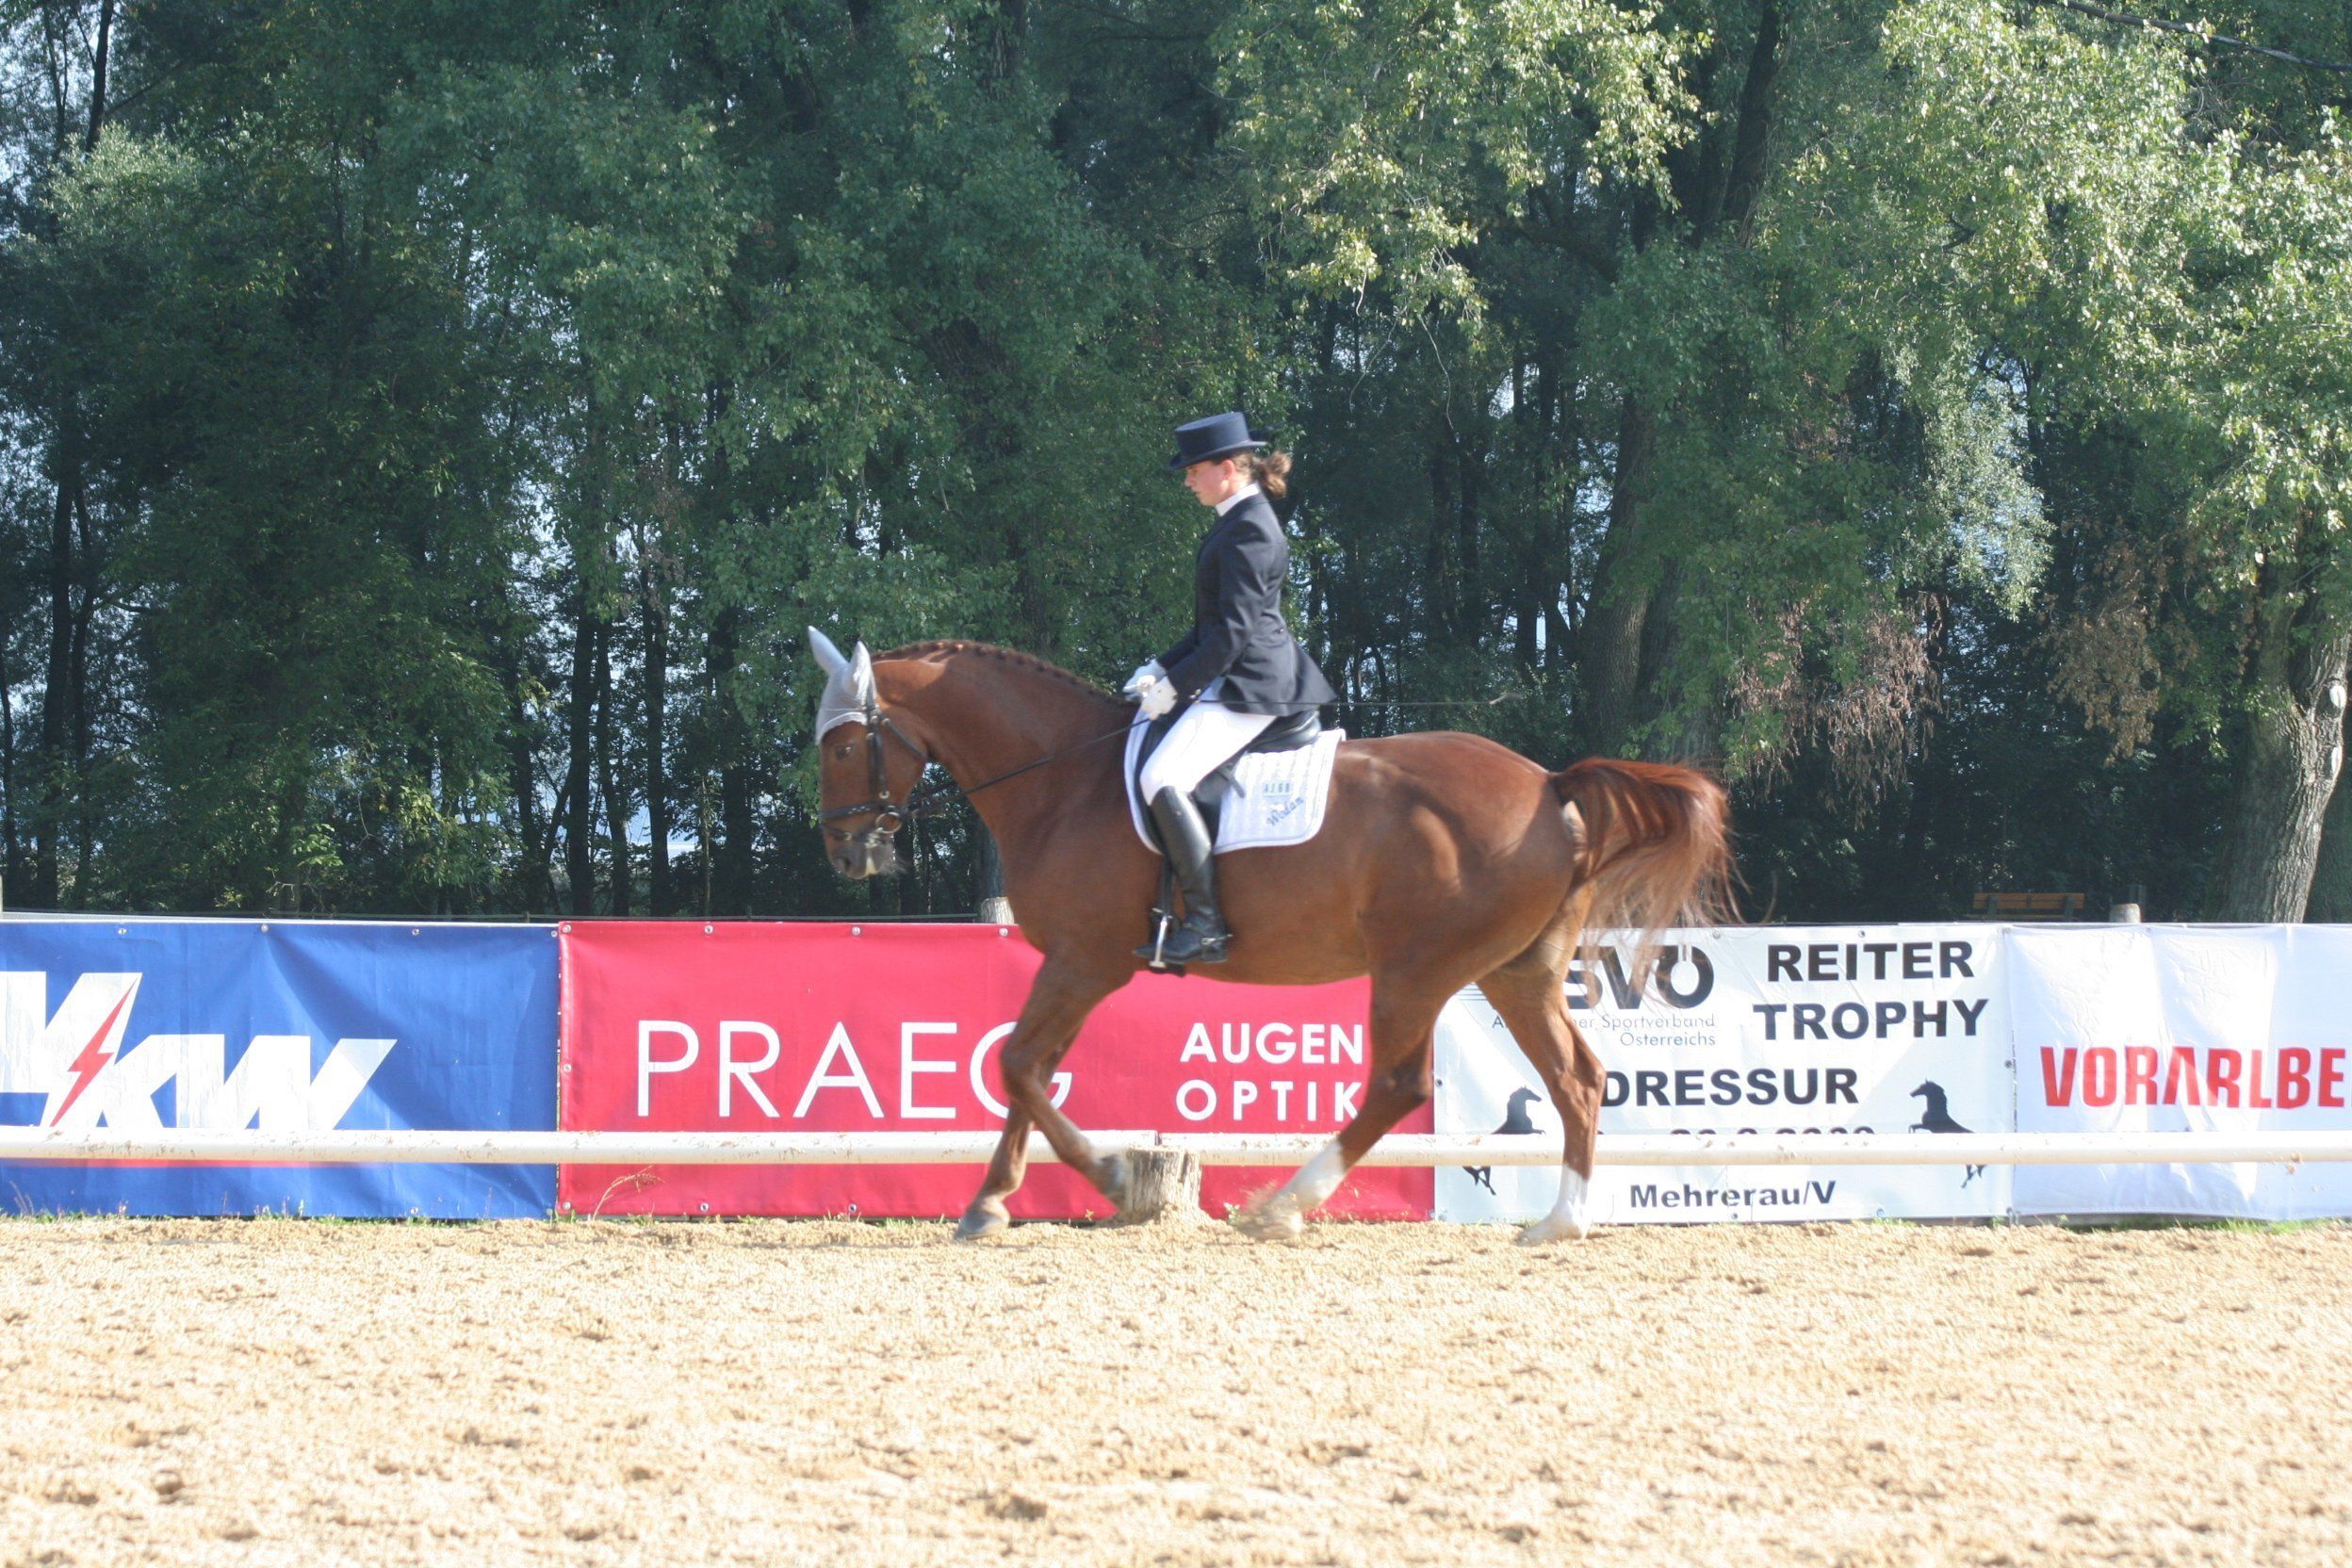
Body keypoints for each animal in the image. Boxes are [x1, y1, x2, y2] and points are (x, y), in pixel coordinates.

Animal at [806, 631, 1731, 1244]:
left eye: (845, 746)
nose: (846, 855)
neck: (1064, 779)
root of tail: (1550, 784)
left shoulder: (1084, 960)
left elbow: (1019, 1065)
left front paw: (1110, 1177)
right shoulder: (1073, 964)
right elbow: (1027, 1070)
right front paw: (990, 1201)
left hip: (1416, 968)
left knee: (1399, 1083)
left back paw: (1282, 1205)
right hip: (1516, 972)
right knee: (1578, 1077)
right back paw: (1561, 1220)